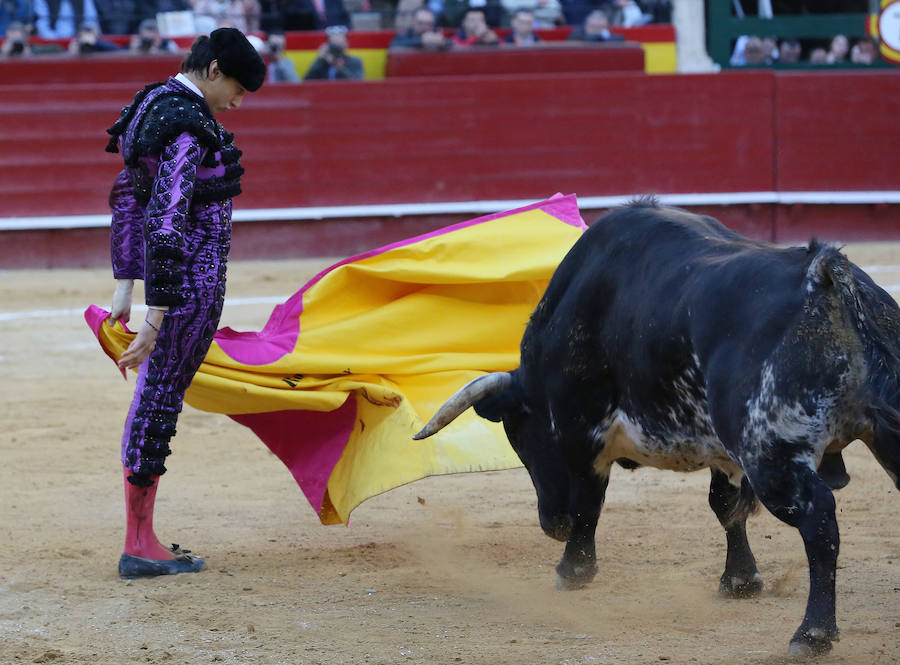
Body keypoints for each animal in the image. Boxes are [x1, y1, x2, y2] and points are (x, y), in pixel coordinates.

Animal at [414, 197, 900, 652]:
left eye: (521, 438)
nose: (553, 526)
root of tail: (825, 278)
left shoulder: (581, 430)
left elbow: (589, 501)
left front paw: (573, 571)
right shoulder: (720, 449)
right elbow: (725, 506)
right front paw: (740, 581)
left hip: (772, 454)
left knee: (819, 521)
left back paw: (813, 633)